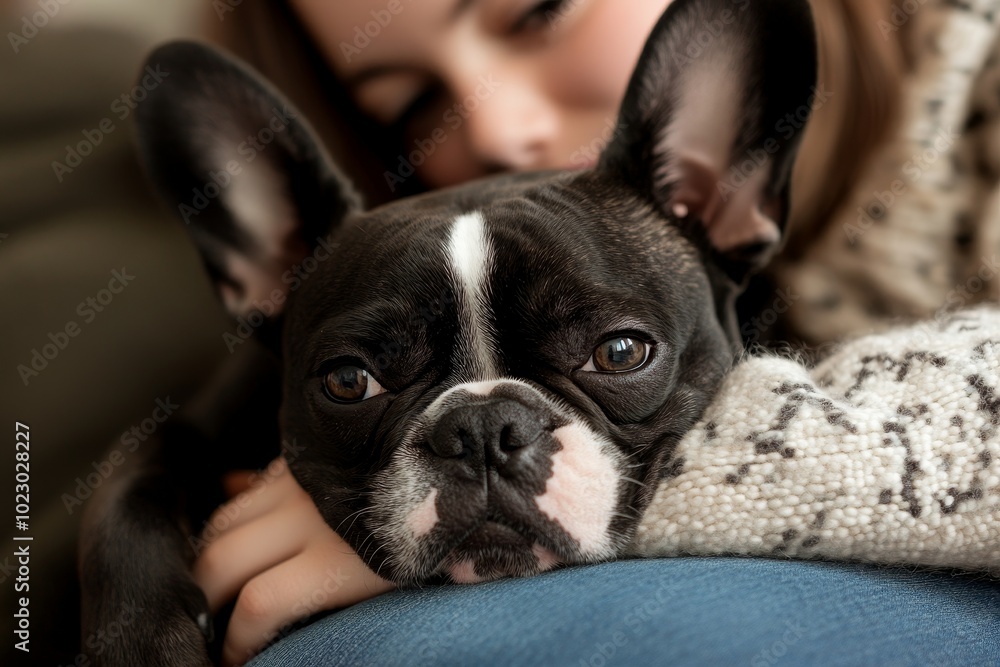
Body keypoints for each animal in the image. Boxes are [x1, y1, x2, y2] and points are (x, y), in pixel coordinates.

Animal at [82, 0, 816, 664]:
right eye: (348, 382)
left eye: (620, 352)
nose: (483, 427)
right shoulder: (189, 425)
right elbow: (125, 482)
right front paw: (143, 638)